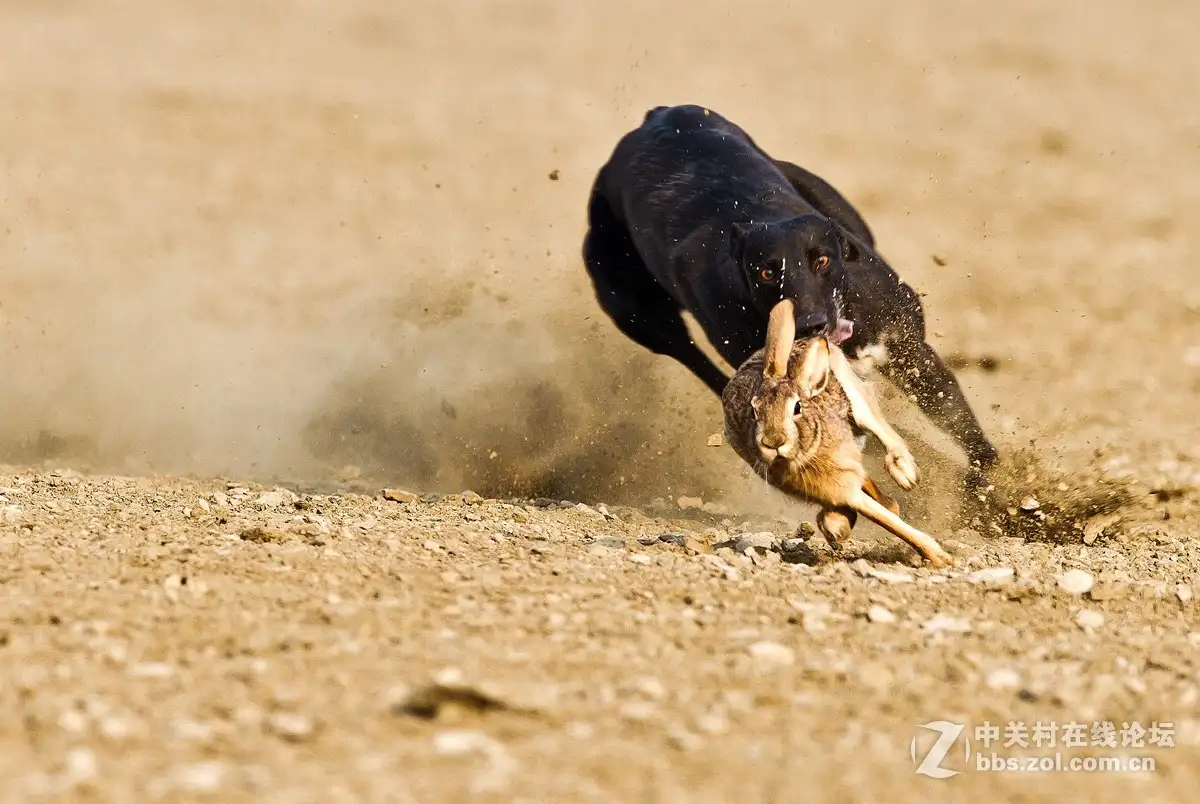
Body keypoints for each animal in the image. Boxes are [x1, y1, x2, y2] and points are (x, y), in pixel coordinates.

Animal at [585, 105, 998, 487]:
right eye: (766, 272)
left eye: (822, 260)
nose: (811, 324)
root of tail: (657, 116)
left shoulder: (908, 348)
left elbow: (966, 430)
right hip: (642, 318)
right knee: (701, 365)